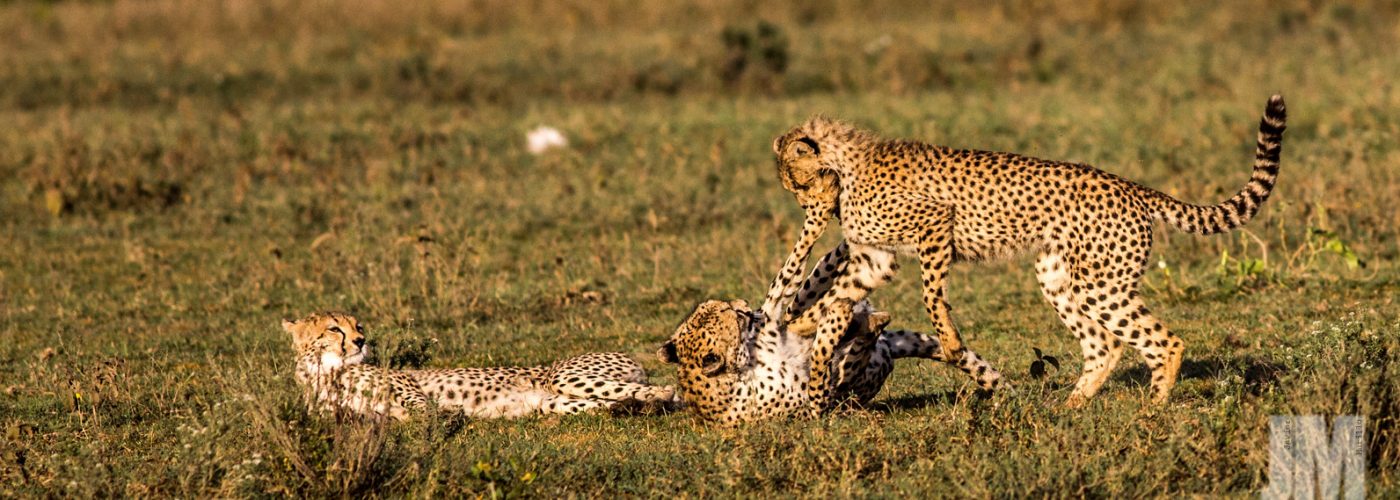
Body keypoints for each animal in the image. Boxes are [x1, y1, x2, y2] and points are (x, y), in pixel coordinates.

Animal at [281, 309, 674, 417]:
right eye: (335, 328)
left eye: (358, 326)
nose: (361, 342)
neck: (323, 370)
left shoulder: (408, 386)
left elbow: (421, 407)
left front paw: (443, 416)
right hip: (553, 401)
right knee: (606, 403)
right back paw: (627, 409)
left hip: (566, 376)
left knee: (663, 389)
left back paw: (659, 398)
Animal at [660, 240, 1002, 425]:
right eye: (732, 314)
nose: (745, 307)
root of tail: (889, 349)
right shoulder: (818, 406)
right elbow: (821, 373)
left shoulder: (775, 318)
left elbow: (791, 275)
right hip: (856, 383)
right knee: (854, 345)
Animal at [767, 94, 1288, 406]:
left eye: (797, 181)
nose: (807, 207)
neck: (848, 164)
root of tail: (1130, 186)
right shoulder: (875, 259)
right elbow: (836, 301)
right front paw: (805, 328)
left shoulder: (936, 225)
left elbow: (932, 295)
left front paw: (951, 343)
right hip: (1059, 278)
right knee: (1106, 345)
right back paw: (1072, 407)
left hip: (1101, 284)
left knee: (1164, 341)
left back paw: (1154, 410)